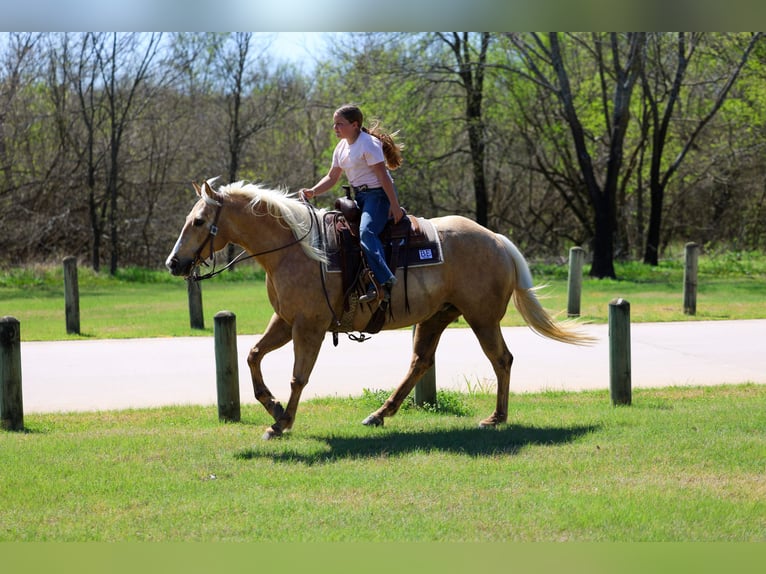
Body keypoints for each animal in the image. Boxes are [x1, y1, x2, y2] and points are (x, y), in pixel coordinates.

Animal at [165, 178, 594, 439]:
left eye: (199, 221)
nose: (174, 263)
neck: (296, 250)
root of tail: (496, 239)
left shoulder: (309, 326)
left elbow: (298, 377)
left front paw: (281, 422)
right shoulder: (285, 321)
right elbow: (253, 355)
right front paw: (272, 407)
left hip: (482, 318)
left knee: (501, 359)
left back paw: (496, 417)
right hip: (436, 317)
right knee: (420, 363)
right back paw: (379, 413)